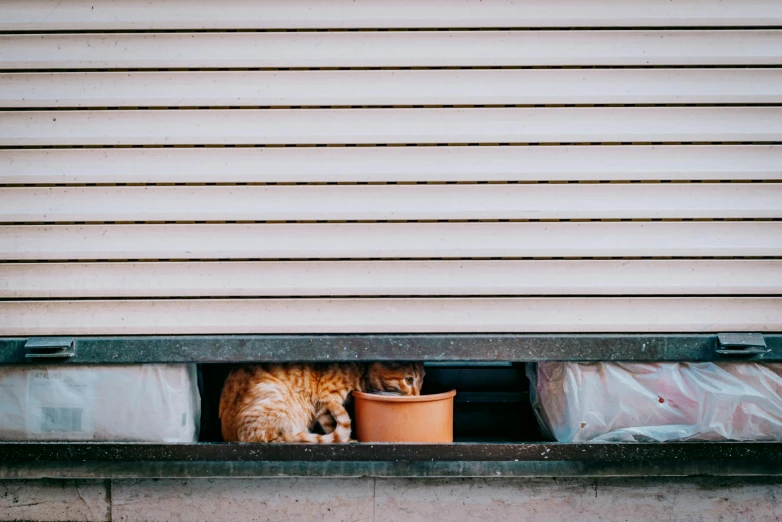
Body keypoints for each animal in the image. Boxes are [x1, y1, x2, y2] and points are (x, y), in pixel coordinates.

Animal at [217, 362, 426, 442]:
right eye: (409, 380)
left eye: (422, 380)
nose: (417, 394)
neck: (361, 370)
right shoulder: (326, 400)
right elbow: (331, 425)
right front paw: (348, 440)